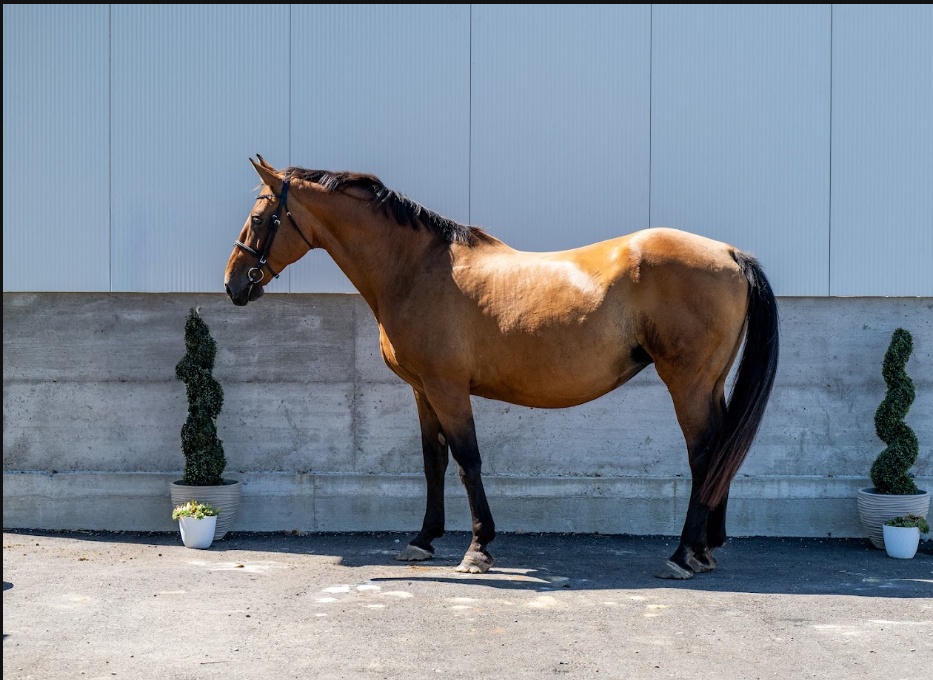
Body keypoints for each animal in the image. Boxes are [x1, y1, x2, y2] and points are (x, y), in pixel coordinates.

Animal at [224, 155, 779, 579]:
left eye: (260, 218)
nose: (233, 283)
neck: (416, 269)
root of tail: (730, 253)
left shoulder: (448, 388)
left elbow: (467, 461)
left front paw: (478, 549)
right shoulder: (422, 390)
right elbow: (433, 462)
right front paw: (423, 539)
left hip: (687, 383)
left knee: (704, 456)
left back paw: (683, 555)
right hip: (710, 384)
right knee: (720, 454)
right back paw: (706, 548)